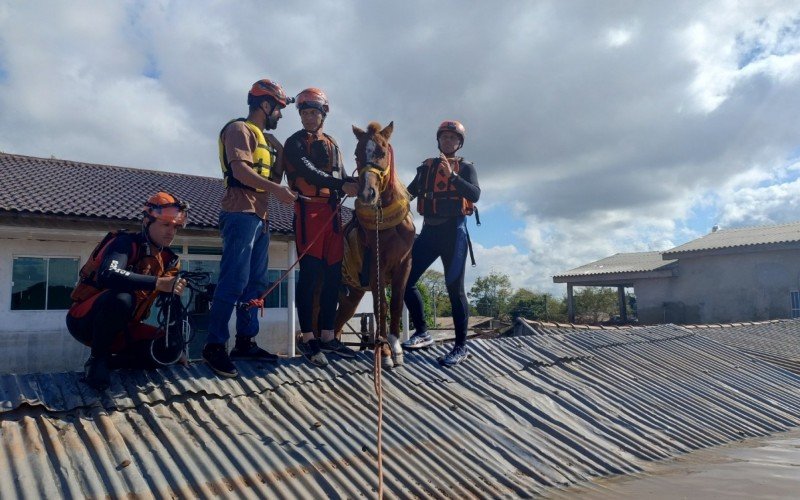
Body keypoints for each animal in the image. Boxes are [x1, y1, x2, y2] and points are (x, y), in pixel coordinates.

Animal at [334, 120, 416, 364]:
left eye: (382, 151)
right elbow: (381, 306)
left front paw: (396, 346)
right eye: (357, 154)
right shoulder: (375, 267)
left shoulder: (404, 265)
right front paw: (385, 350)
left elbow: (396, 303)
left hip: (352, 296)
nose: (367, 194)